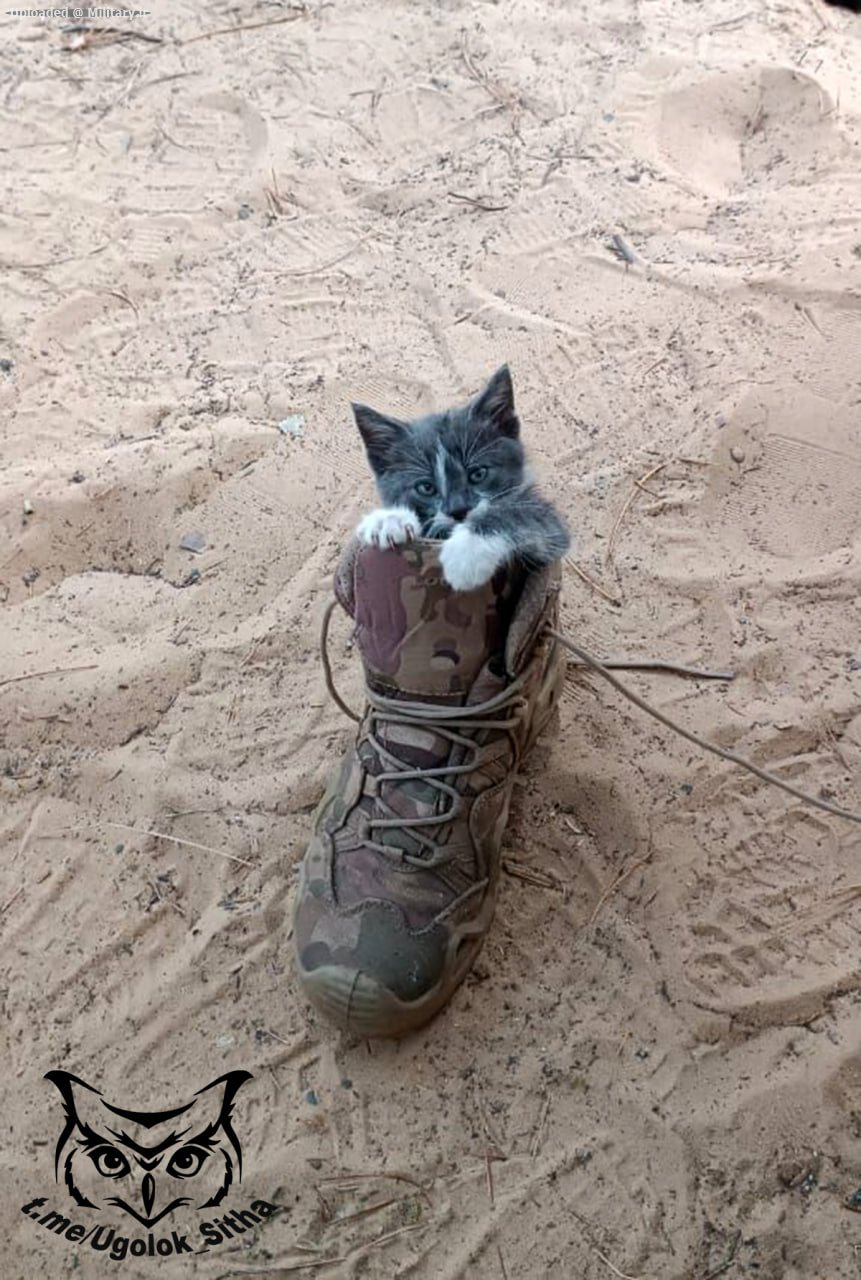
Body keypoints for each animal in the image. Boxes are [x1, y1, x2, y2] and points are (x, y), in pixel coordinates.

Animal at [353, 366, 568, 593]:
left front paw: (466, 554)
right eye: (426, 487)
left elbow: (519, 515)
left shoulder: (551, 532)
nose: (459, 510)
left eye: (478, 474)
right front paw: (387, 520)